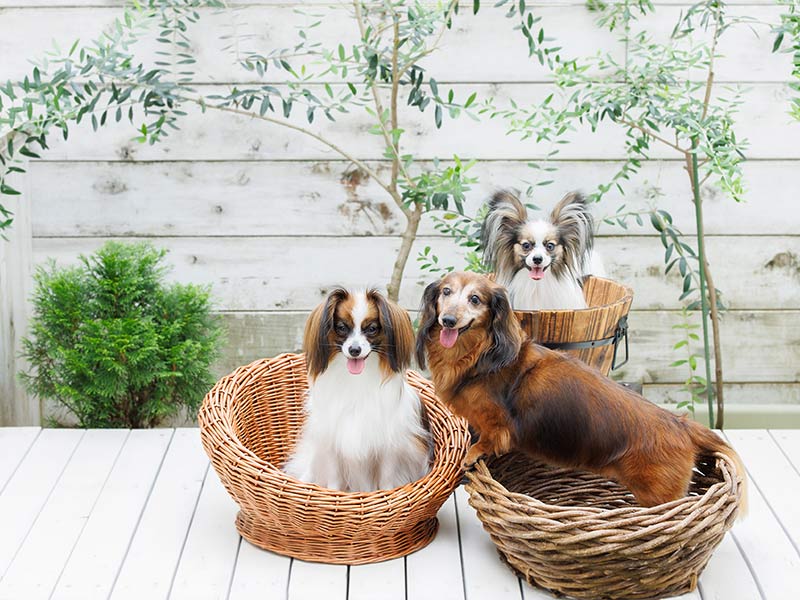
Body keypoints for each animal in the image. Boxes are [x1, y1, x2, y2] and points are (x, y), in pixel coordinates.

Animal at [282, 288, 432, 492]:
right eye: (341, 327)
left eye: (372, 329)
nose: (354, 350)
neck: (357, 379)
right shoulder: (333, 442)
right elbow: (334, 478)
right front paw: (333, 495)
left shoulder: (388, 446)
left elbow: (386, 479)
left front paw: (385, 495)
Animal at [416, 272, 748, 510]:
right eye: (446, 292)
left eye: (475, 298)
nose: (447, 320)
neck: (480, 356)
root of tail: (682, 424)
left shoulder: (496, 423)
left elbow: (490, 438)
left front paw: (474, 452)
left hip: (658, 495)